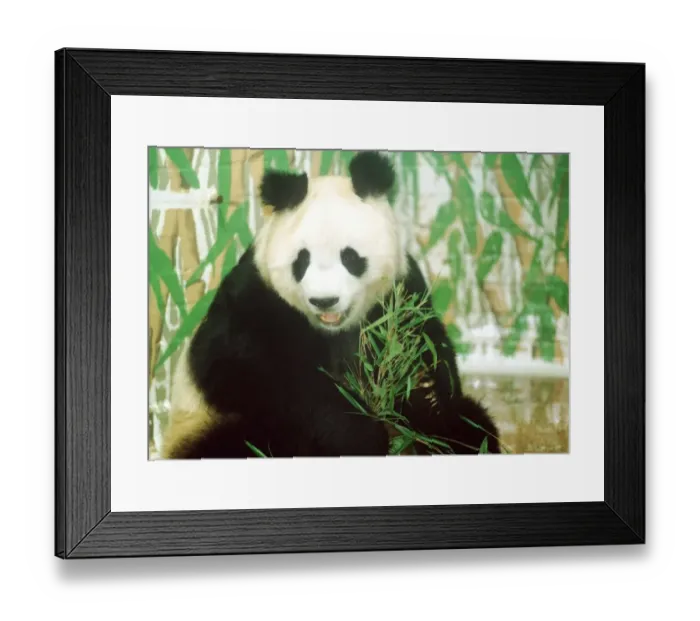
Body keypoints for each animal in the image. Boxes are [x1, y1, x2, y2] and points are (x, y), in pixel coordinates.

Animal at [160, 151, 501, 459]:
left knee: (472, 423)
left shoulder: (399, 296)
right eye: (302, 260)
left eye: (349, 257)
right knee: (236, 442)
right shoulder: (254, 300)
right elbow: (241, 370)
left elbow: (426, 348)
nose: (325, 301)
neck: (334, 329)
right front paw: (359, 435)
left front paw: (423, 392)